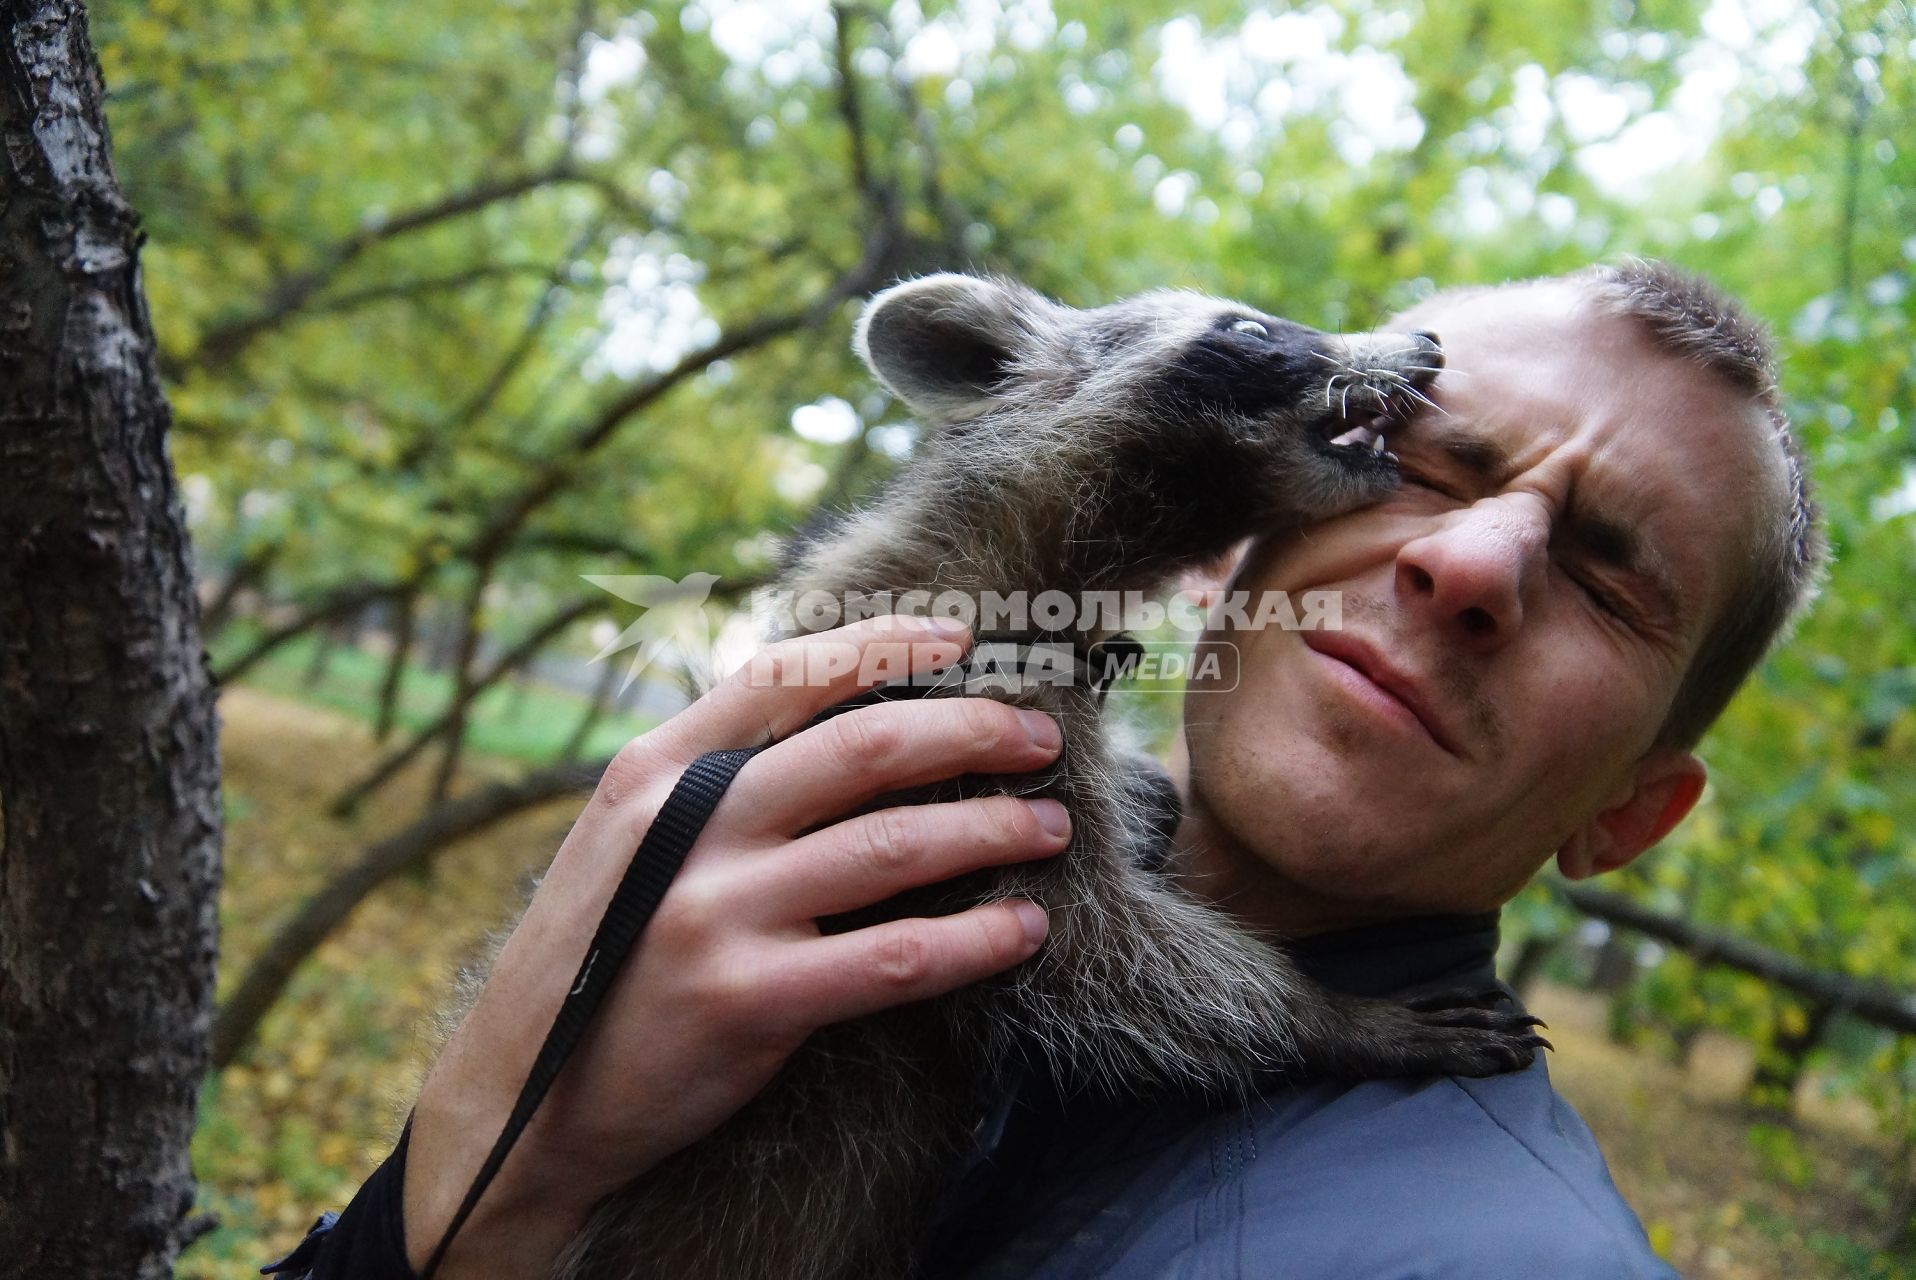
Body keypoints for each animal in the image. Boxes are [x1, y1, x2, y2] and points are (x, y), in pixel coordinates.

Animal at [555, 275, 1540, 1280]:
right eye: (1248, 328)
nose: (1427, 343)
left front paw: (1148, 794)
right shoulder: (943, 727)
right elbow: (1090, 961)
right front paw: (1330, 1018)